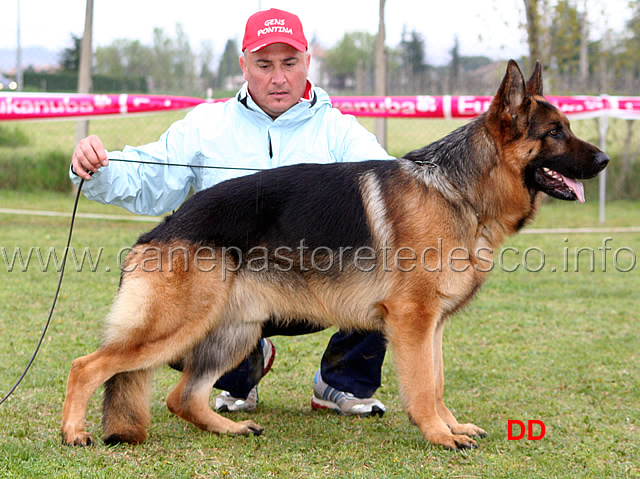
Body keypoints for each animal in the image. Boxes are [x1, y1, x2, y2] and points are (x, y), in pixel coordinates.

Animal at [61, 61, 608, 450]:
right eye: (554, 132)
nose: (604, 160)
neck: (458, 190)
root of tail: (161, 227)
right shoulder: (412, 320)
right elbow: (423, 388)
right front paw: (438, 435)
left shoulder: (431, 325)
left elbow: (437, 381)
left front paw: (451, 426)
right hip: (176, 326)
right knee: (87, 366)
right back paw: (74, 432)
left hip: (232, 332)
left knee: (181, 396)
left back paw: (227, 429)